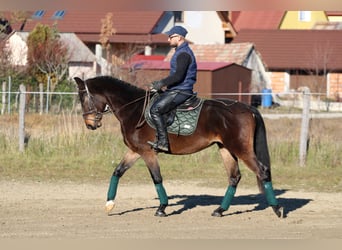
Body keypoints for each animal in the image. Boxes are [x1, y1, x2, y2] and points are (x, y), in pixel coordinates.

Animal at [74, 75, 284, 218]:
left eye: (83, 98)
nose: (90, 124)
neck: (133, 109)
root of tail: (248, 108)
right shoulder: (135, 151)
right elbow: (117, 172)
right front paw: (109, 203)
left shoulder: (147, 152)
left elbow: (157, 178)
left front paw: (162, 208)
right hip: (225, 148)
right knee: (234, 177)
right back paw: (220, 210)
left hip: (242, 149)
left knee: (262, 171)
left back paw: (277, 208)